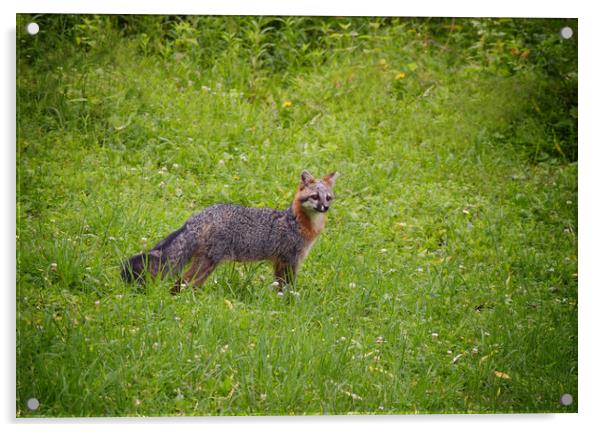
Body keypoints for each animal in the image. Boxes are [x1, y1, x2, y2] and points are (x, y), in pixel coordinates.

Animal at [120, 170, 338, 294]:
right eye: (315, 197)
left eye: (328, 197)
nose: (325, 208)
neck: (299, 223)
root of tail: (200, 216)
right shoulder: (289, 260)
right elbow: (288, 287)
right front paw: (290, 304)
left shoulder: (279, 262)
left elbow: (279, 286)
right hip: (207, 263)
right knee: (180, 282)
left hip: (206, 266)